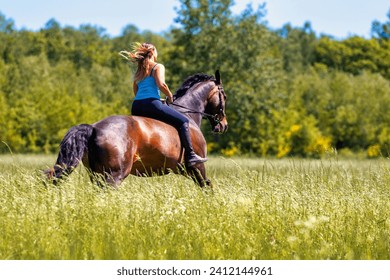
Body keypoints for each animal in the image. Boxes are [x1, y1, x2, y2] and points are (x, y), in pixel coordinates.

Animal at [45, 71, 229, 187]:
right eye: (224, 96)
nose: (223, 125)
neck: (189, 114)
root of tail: (94, 128)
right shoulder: (198, 168)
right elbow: (208, 187)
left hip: (96, 175)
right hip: (113, 176)